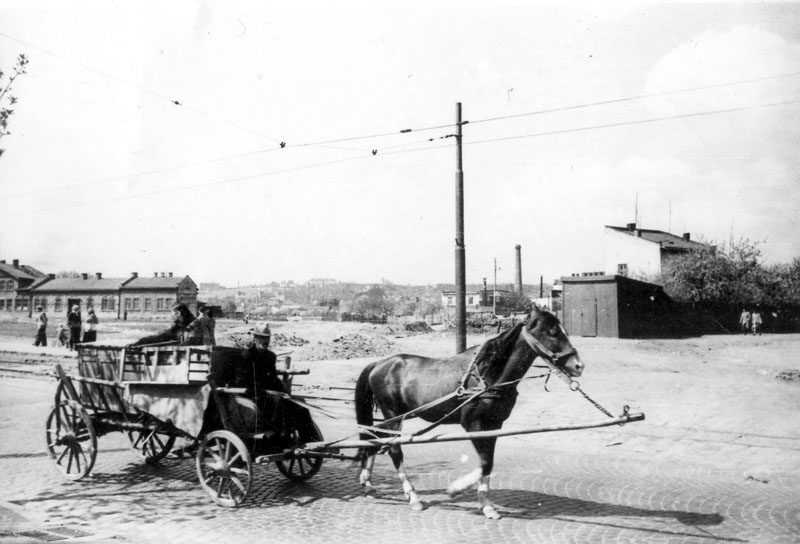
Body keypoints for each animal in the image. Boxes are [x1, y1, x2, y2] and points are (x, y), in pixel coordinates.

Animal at [354, 304, 580, 520]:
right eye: (552, 332)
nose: (578, 365)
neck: (488, 375)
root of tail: (380, 363)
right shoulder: (473, 424)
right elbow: (485, 461)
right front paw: (460, 489)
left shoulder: (494, 425)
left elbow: (488, 461)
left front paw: (486, 504)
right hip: (392, 415)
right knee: (394, 450)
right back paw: (413, 496)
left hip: (393, 418)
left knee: (374, 439)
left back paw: (368, 483)